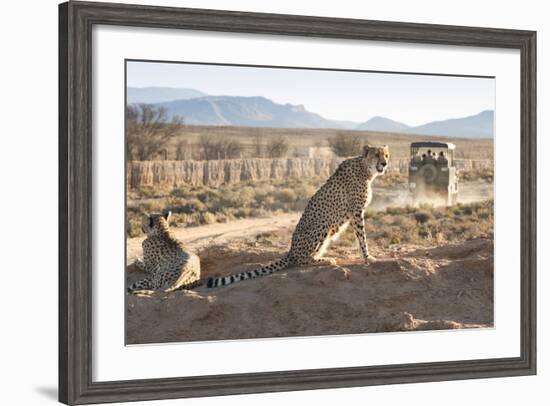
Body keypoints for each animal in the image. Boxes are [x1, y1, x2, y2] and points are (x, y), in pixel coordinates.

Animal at [208, 144, 392, 288]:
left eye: (386, 155)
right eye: (376, 154)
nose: (384, 163)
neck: (365, 169)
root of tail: (291, 251)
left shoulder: (356, 212)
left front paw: (367, 257)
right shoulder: (357, 212)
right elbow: (362, 238)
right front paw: (368, 257)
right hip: (322, 224)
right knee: (301, 260)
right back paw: (325, 260)